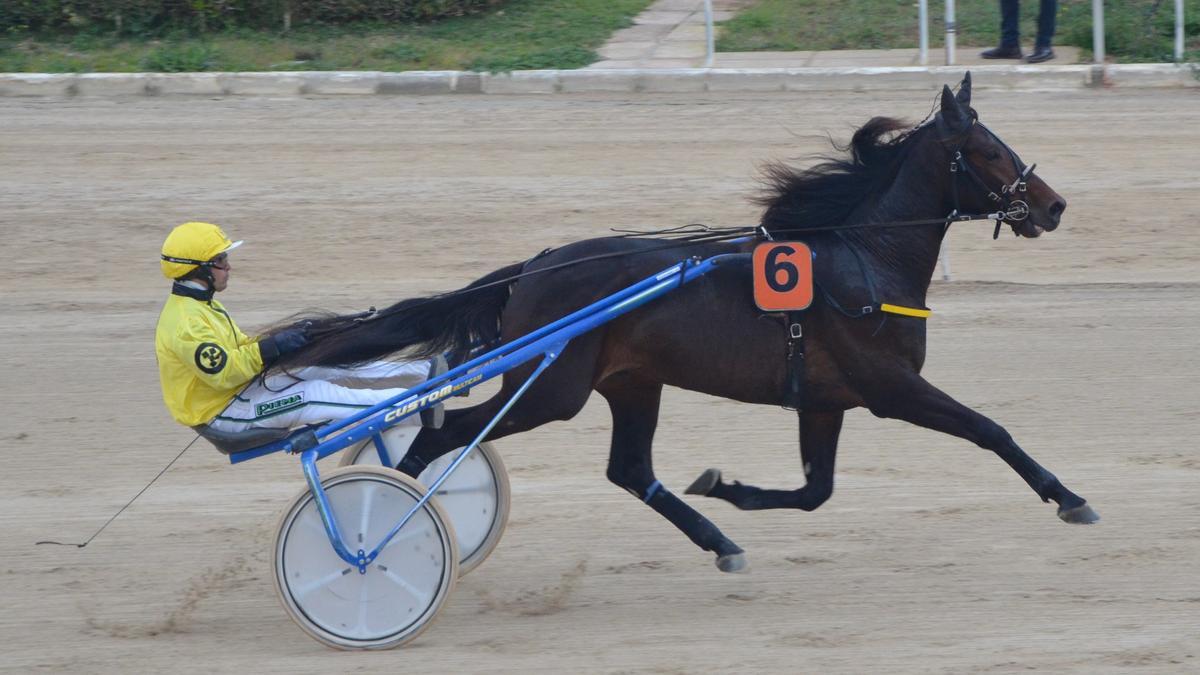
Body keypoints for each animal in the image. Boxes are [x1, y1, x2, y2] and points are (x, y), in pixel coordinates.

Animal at [278, 72, 1099, 566]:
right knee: (443, 432)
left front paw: (725, 487)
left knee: (628, 468)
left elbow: (815, 490)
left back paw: (717, 536)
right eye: (986, 150)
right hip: (552, 390)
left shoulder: (825, 398)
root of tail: (535, 268)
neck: (865, 262)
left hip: (631, 382)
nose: (1054, 204)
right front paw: (1069, 498)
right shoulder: (890, 387)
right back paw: (387, 521)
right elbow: (990, 429)